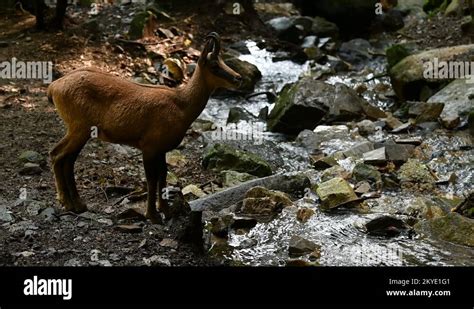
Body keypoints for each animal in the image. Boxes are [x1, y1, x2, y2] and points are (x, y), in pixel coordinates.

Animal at [48, 32, 243, 223]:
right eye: (214, 65)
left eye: (223, 61)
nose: (238, 78)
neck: (181, 104)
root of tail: (54, 87)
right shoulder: (149, 147)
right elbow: (151, 179)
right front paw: (153, 215)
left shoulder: (161, 149)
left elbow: (163, 175)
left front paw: (166, 210)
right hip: (79, 128)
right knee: (58, 155)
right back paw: (67, 202)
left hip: (80, 131)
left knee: (66, 159)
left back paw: (77, 204)